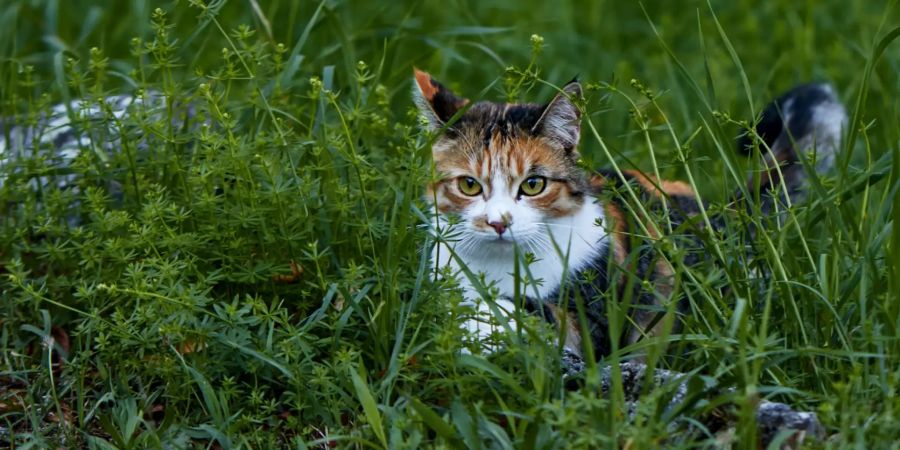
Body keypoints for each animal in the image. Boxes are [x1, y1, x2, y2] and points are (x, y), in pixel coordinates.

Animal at [412, 68, 848, 360]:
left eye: (533, 185)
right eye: (470, 186)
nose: (498, 223)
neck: (499, 266)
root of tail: (723, 213)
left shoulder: (593, 318)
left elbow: (528, 313)